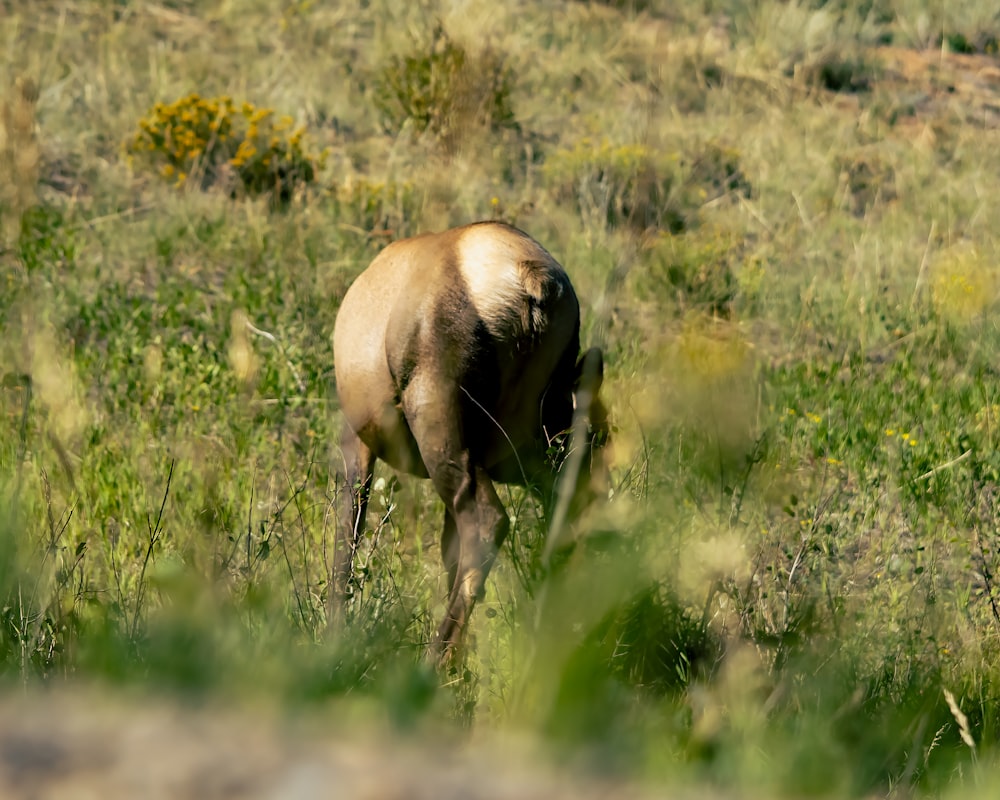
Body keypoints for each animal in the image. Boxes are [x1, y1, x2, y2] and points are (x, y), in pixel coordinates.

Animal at [332, 220, 608, 664]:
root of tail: (532, 283)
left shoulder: (357, 441)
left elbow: (348, 534)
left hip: (439, 424)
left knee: (486, 523)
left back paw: (431, 664)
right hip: (526, 449)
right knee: (558, 520)